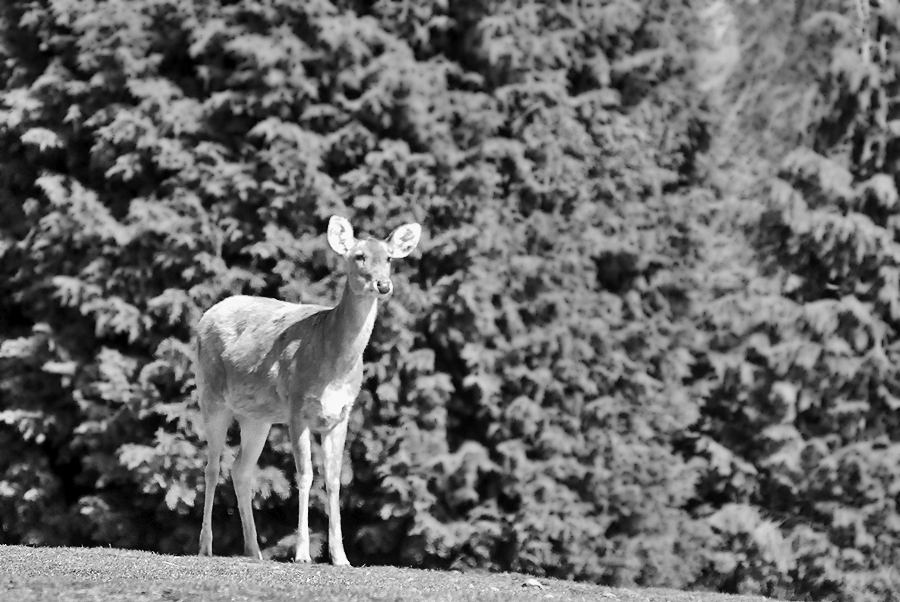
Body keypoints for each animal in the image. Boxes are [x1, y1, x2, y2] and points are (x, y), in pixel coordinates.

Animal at [194, 215, 422, 565]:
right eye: (359, 256)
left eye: (389, 259)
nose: (383, 285)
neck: (333, 367)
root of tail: (206, 315)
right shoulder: (296, 405)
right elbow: (304, 476)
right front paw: (302, 553)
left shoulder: (341, 415)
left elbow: (334, 480)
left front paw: (341, 557)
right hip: (211, 393)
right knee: (212, 466)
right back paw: (205, 546)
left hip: (257, 417)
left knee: (241, 469)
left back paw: (254, 550)